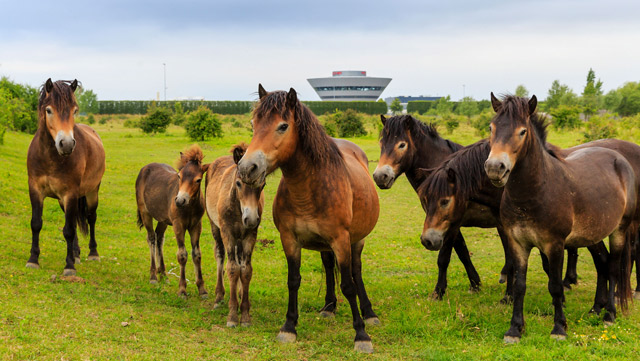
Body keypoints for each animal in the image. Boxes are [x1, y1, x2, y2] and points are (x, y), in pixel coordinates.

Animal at [26, 78, 105, 276]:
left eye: (74, 110)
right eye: (48, 110)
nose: (67, 144)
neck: (50, 158)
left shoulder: (70, 194)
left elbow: (68, 230)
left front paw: (69, 266)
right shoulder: (35, 190)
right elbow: (36, 223)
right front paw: (33, 260)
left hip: (92, 192)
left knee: (91, 218)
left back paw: (93, 253)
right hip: (65, 201)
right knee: (76, 221)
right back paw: (76, 254)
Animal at [136, 145, 210, 296]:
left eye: (198, 180)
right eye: (179, 176)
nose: (180, 200)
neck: (189, 207)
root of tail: (144, 168)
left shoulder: (196, 225)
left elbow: (197, 254)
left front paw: (202, 289)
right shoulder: (178, 225)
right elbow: (182, 255)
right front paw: (182, 290)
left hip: (163, 220)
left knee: (159, 238)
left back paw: (163, 274)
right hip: (145, 213)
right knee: (151, 238)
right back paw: (153, 276)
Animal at [205, 143, 264, 326]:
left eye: (262, 185)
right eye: (238, 183)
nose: (250, 219)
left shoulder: (250, 235)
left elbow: (246, 270)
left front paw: (244, 314)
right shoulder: (228, 232)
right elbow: (231, 268)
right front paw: (232, 316)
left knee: (239, 259)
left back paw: (238, 293)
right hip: (215, 227)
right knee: (220, 255)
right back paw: (219, 297)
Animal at [239, 84, 380, 352]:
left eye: (283, 126)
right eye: (253, 124)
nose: (246, 168)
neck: (309, 190)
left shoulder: (341, 240)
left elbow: (349, 285)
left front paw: (361, 335)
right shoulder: (289, 239)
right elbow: (293, 280)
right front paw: (289, 327)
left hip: (356, 240)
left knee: (356, 272)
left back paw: (369, 313)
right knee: (328, 265)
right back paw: (329, 307)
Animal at [484, 94, 636, 342]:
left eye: (522, 131)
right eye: (491, 128)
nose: (495, 168)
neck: (536, 191)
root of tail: (619, 159)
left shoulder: (554, 245)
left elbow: (555, 286)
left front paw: (559, 328)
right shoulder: (518, 244)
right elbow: (519, 285)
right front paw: (515, 329)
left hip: (619, 230)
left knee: (613, 267)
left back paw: (610, 314)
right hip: (593, 234)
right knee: (603, 264)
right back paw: (597, 308)